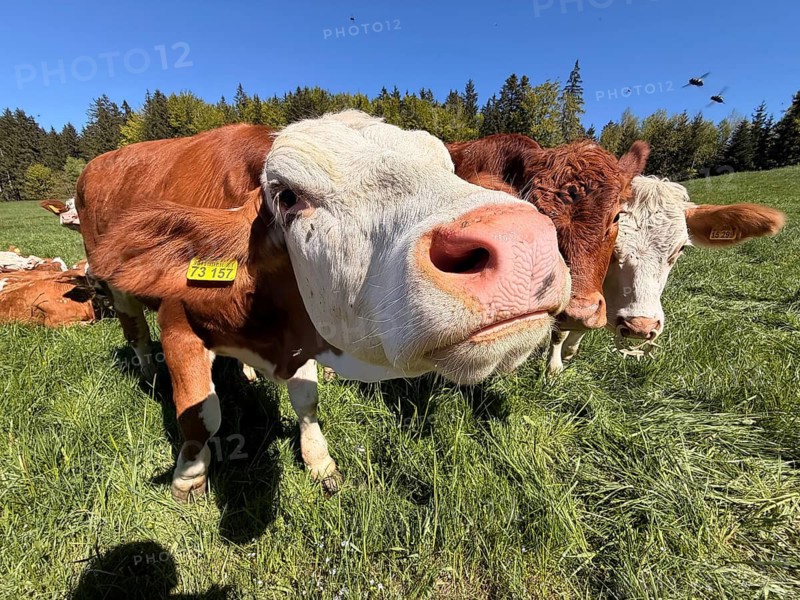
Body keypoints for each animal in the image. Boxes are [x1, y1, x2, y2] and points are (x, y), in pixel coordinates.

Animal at [77, 111, 572, 502]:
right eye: (288, 196)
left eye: (447, 168)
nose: (520, 240)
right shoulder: (177, 321)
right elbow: (200, 416)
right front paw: (189, 477)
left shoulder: (301, 337)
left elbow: (307, 400)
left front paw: (318, 459)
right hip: (115, 285)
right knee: (136, 333)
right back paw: (147, 372)